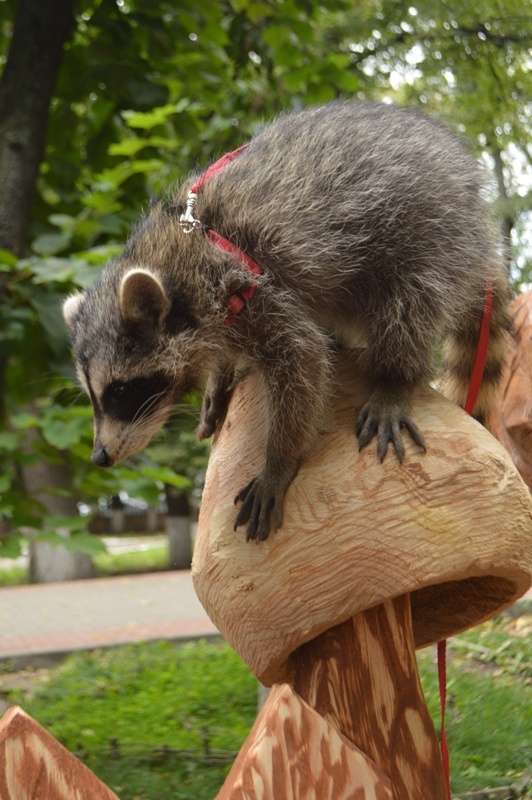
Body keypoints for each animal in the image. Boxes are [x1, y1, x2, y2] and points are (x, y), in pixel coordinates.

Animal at [63, 97, 516, 540]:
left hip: (433, 232)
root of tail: (481, 232)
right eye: (94, 395)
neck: (177, 257)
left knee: (410, 302)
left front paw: (278, 460)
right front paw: (218, 381)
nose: (100, 456)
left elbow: (303, 360)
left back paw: (395, 376)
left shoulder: (251, 290)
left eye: (121, 391)